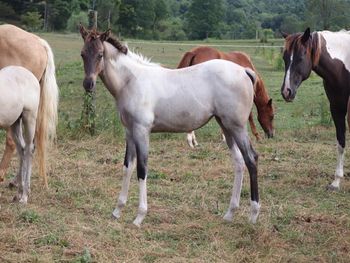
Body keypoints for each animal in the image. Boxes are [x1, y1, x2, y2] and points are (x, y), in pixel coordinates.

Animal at [0, 65, 55, 204]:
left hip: (29, 118)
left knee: (29, 149)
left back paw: (24, 196)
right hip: (15, 122)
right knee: (22, 149)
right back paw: (19, 193)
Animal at [79, 27, 260, 229]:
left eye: (100, 54)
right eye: (83, 54)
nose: (88, 84)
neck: (131, 81)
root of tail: (244, 71)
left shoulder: (142, 132)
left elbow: (141, 169)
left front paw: (139, 216)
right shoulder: (129, 132)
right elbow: (128, 167)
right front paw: (117, 210)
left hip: (237, 127)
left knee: (251, 159)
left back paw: (253, 215)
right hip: (226, 126)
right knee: (239, 162)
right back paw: (229, 213)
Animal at [280, 27, 350, 191]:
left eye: (300, 58)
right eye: (285, 59)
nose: (286, 91)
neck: (343, 66)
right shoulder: (337, 107)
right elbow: (341, 141)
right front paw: (336, 182)